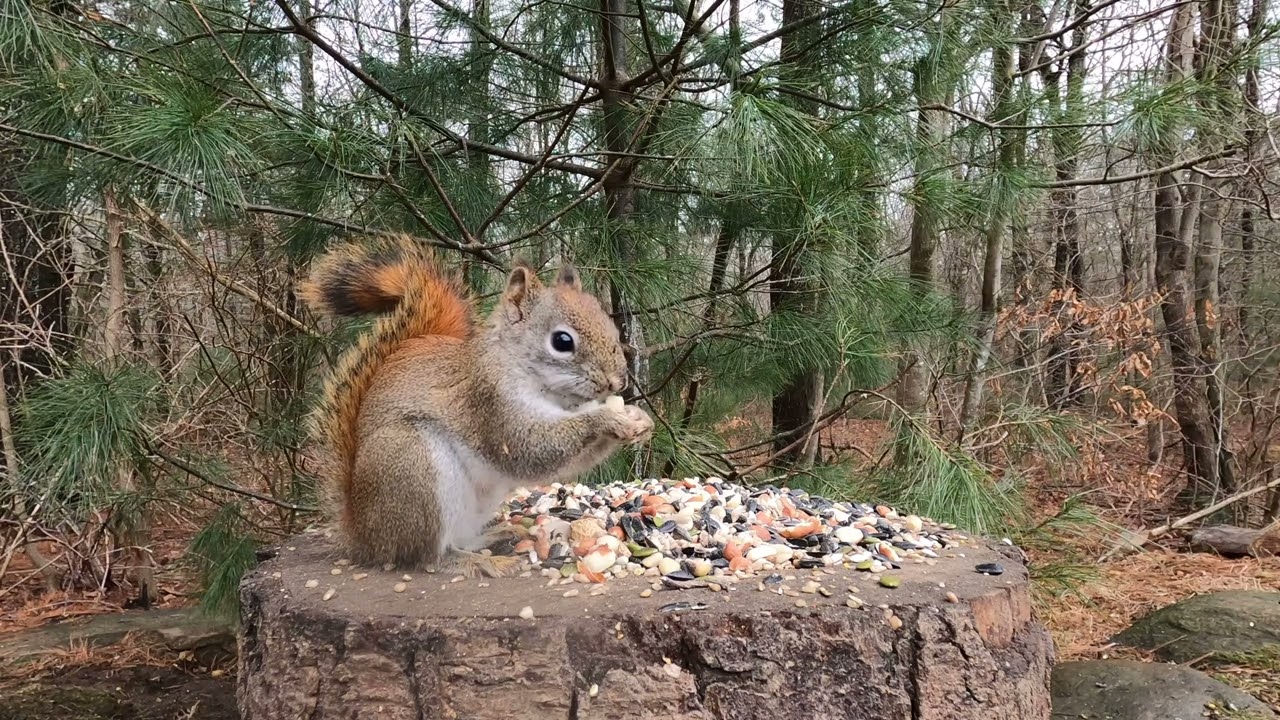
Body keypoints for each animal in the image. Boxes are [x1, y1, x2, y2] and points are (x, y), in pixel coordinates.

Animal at [298, 235, 654, 577]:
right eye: (562, 341)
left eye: (609, 327)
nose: (617, 382)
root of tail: (362, 534)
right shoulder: (489, 403)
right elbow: (532, 448)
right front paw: (609, 418)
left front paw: (639, 419)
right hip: (411, 466)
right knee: (425, 558)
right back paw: (481, 563)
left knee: (461, 538)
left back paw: (497, 536)